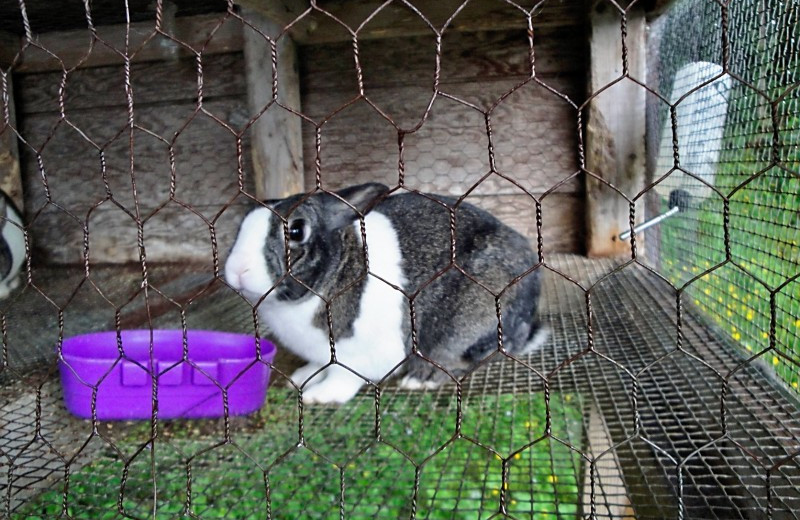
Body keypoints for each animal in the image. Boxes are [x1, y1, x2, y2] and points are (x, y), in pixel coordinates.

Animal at [227, 182, 552, 402]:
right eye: (240, 224)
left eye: (296, 231)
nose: (237, 270)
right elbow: (318, 365)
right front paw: (300, 377)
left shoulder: (357, 357)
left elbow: (342, 377)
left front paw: (319, 396)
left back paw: (421, 378)